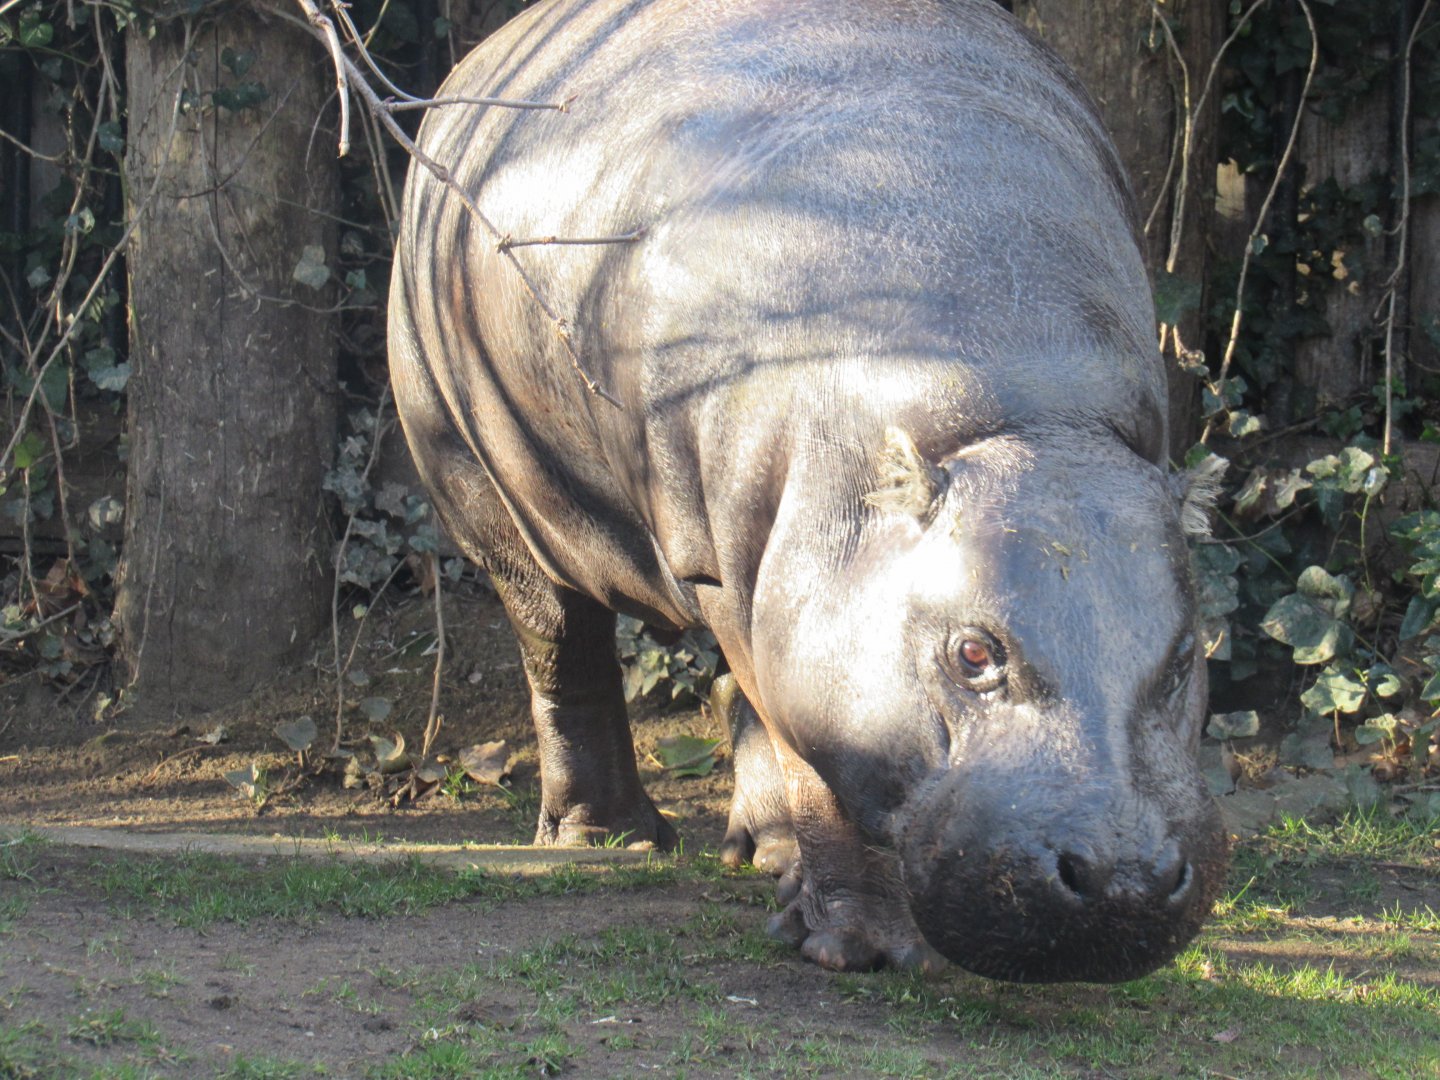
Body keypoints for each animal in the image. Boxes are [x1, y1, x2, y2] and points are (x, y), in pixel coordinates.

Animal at [388, 0, 1229, 982]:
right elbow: (815, 761)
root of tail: (474, 64)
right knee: (564, 649)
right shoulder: (734, 570)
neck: (1027, 417)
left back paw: (764, 855)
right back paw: (609, 840)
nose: (1122, 879)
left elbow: (775, 712)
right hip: (499, 503)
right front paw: (861, 952)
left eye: (1186, 654)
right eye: (972, 653)